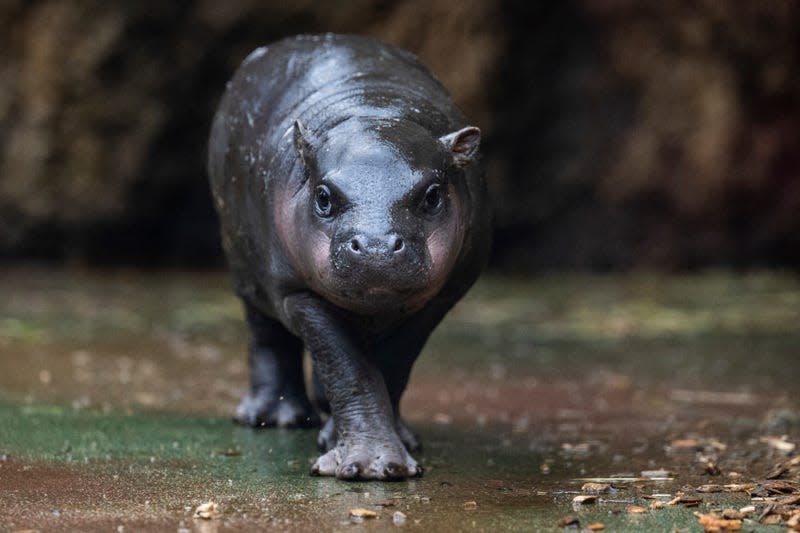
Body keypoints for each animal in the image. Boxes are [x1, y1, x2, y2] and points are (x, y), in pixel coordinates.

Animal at [206, 35, 490, 480]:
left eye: (432, 195)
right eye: (323, 196)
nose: (375, 246)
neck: (373, 111)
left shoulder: (444, 294)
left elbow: (392, 363)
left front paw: (389, 452)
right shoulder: (297, 292)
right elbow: (348, 367)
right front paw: (366, 465)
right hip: (246, 269)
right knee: (265, 334)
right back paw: (273, 419)